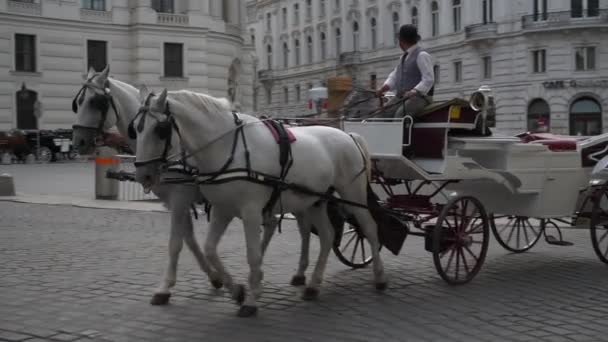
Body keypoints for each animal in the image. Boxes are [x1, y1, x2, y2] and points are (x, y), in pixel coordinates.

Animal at [70, 66, 226, 304]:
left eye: (97, 102)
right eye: (77, 102)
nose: (78, 141)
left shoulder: (180, 197)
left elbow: (175, 242)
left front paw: (165, 287)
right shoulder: (174, 202)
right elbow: (189, 239)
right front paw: (214, 276)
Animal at [133, 88, 390, 318]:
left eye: (161, 130)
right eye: (136, 129)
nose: (143, 175)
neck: (228, 148)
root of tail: (348, 135)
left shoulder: (250, 211)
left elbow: (252, 253)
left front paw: (252, 297)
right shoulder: (221, 209)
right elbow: (210, 249)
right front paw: (236, 290)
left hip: (352, 193)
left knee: (369, 228)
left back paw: (379, 277)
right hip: (314, 200)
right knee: (327, 235)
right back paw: (313, 284)